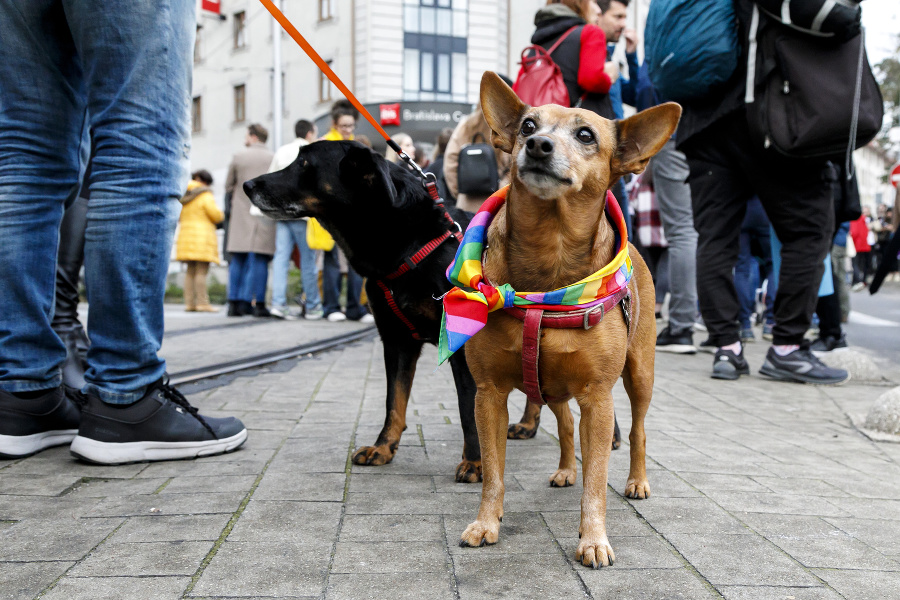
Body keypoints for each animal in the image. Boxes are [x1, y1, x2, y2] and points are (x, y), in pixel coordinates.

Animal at [243, 142, 482, 482]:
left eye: (303, 163)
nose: (248, 185)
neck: (409, 244)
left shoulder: (460, 344)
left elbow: (467, 406)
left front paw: (475, 461)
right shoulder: (396, 341)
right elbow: (393, 400)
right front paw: (383, 447)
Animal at [460, 72, 680, 564]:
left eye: (586, 135)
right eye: (527, 125)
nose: (537, 145)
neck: (550, 262)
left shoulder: (598, 398)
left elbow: (596, 480)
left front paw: (593, 538)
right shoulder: (489, 395)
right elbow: (494, 473)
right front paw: (486, 523)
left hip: (640, 375)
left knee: (636, 430)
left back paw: (637, 480)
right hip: (553, 386)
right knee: (563, 425)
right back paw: (564, 469)